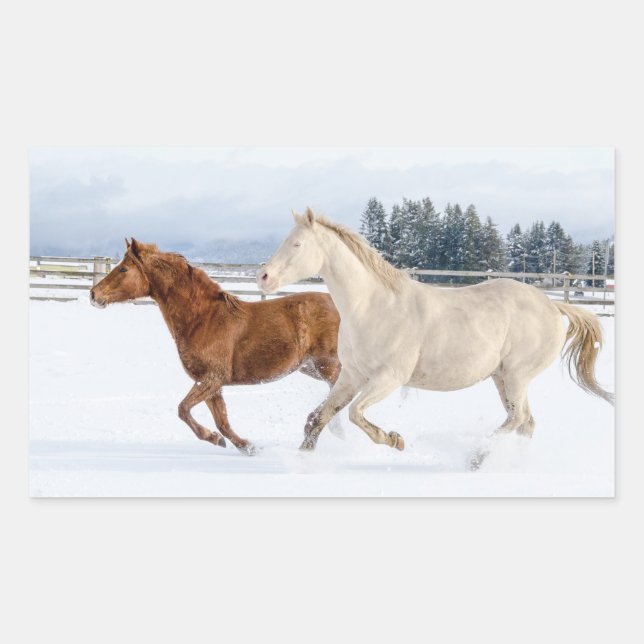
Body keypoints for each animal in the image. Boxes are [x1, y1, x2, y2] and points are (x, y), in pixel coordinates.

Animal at [90, 238, 341, 455]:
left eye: (124, 269)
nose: (94, 294)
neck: (202, 318)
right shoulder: (212, 384)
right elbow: (222, 422)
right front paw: (245, 446)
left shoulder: (212, 378)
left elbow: (183, 409)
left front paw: (216, 438)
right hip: (310, 367)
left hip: (327, 365)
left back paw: (313, 432)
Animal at [257, 208, 614, 456]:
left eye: (297, 243)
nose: (263, 277)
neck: (373, 306)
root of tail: (553, 307)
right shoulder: (352, 375)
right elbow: (323, 416)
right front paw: (304, 457)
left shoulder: (390, 377)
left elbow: (356, 414)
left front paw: (395, 440)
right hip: (502, 378)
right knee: (525, 423)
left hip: (517, 376)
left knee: (518, 419)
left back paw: (477, 457)